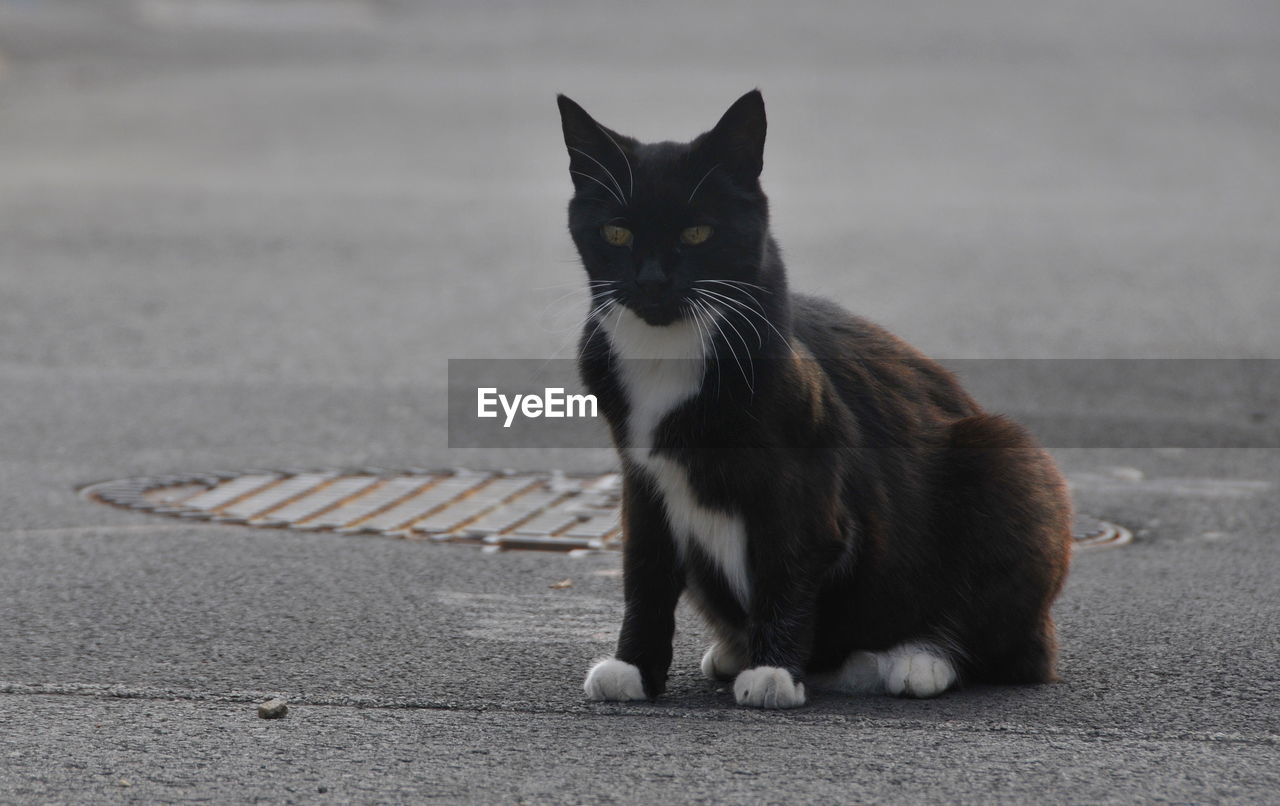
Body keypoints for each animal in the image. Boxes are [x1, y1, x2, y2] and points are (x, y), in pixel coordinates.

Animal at [558, 91, 1070, 711]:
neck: (671, 353)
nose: (652, 282)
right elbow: (646, 572)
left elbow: (790, 561)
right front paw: (634, 666)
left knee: (1013, 648)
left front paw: (774, 671)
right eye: (616, 234)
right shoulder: (643, 481)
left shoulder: (804, 478)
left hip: (1004, 455)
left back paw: (915, 659)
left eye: (698, 233)